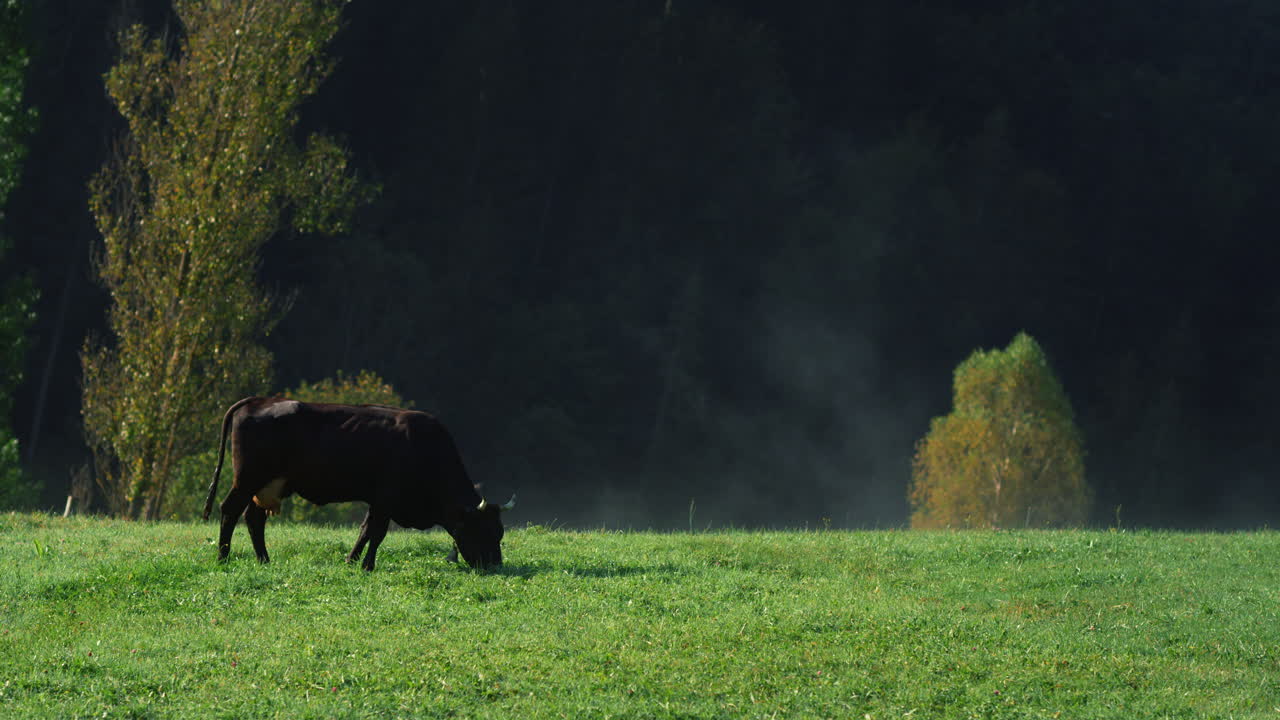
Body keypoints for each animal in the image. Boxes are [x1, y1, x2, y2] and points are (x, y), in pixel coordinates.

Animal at [201, 396, 514, 570]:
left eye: (500, 532)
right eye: (482, 530)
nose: (495, 565)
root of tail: (258, 400)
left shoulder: (376, 500)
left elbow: (365, 530)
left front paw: (352, 561)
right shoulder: (387, 499)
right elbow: (377, 533)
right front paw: (367, 565)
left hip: (268, 486)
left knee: (254, 519)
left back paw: (264, 560)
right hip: (248, 479)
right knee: (229, 510)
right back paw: (223, 557)